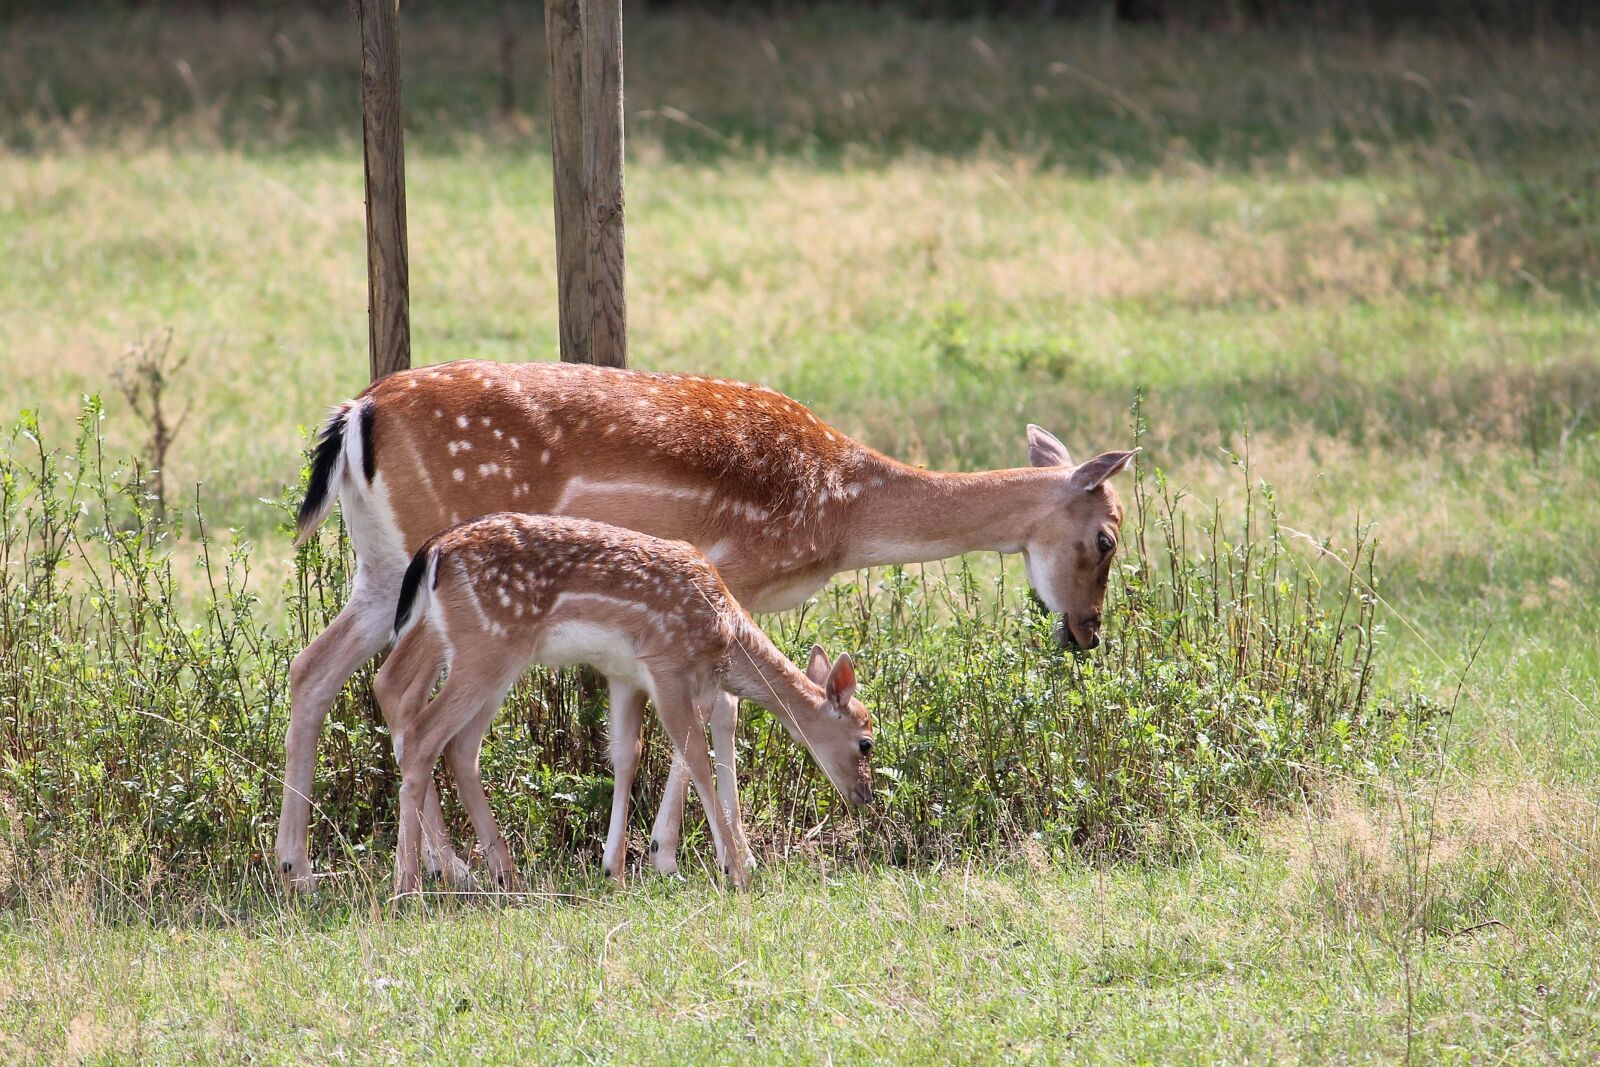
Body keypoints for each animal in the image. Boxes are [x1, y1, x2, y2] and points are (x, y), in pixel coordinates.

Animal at [374, 512, 874, 895]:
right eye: (866, 741)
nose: (865, 796)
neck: (725, 633)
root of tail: (435, 551)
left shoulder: (623, 675)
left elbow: (627, 755)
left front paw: (613, 870)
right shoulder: (667, 664)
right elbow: (695, 755)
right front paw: (735, 871)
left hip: (482, 656)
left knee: (451, 740)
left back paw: (505, 875)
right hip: (486, 648)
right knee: (424, 734)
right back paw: (411, 886)